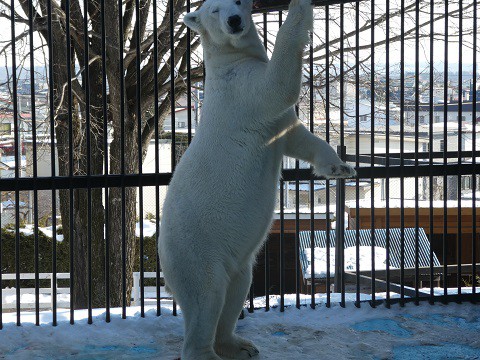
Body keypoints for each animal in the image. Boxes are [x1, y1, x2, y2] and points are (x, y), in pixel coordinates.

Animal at [159, 0, 358, 360]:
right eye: (214, 10)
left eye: (238, 2)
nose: (235, 21)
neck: (228, 60)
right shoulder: (242, 91)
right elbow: (277, 86)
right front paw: (298, 7)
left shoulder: (276, 123)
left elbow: (298, 137)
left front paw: (340, 168)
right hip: (195, 248)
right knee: (206, 296)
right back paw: (208, 351)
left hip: (232, 259)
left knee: (237, 288)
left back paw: (239, 344)